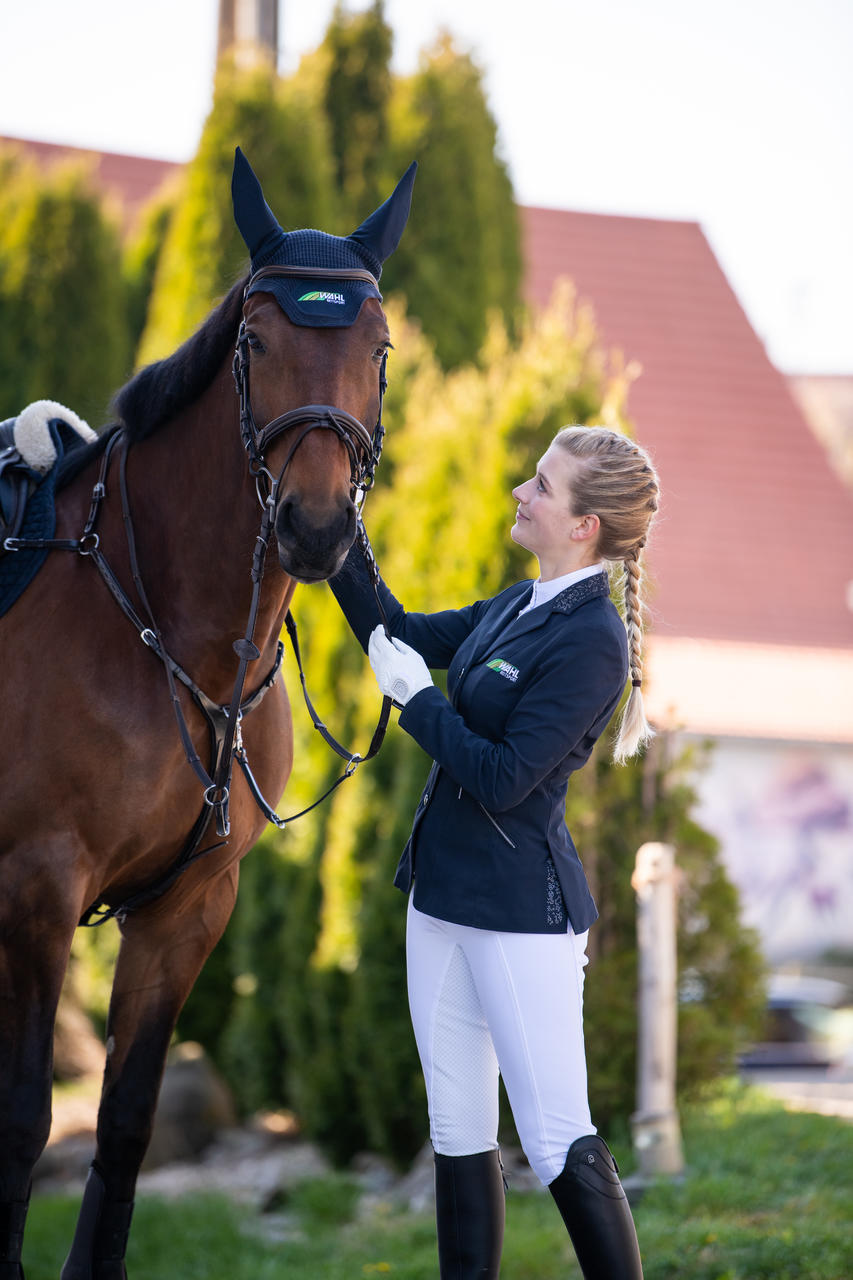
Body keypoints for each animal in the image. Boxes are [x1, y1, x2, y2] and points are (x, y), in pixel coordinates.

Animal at [0, 152, 412, 1280]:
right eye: (255, 340)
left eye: (378, 349)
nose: (313, 526)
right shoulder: (33, 888)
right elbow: (22, 1115)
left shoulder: (186, 907)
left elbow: (127, 1121)